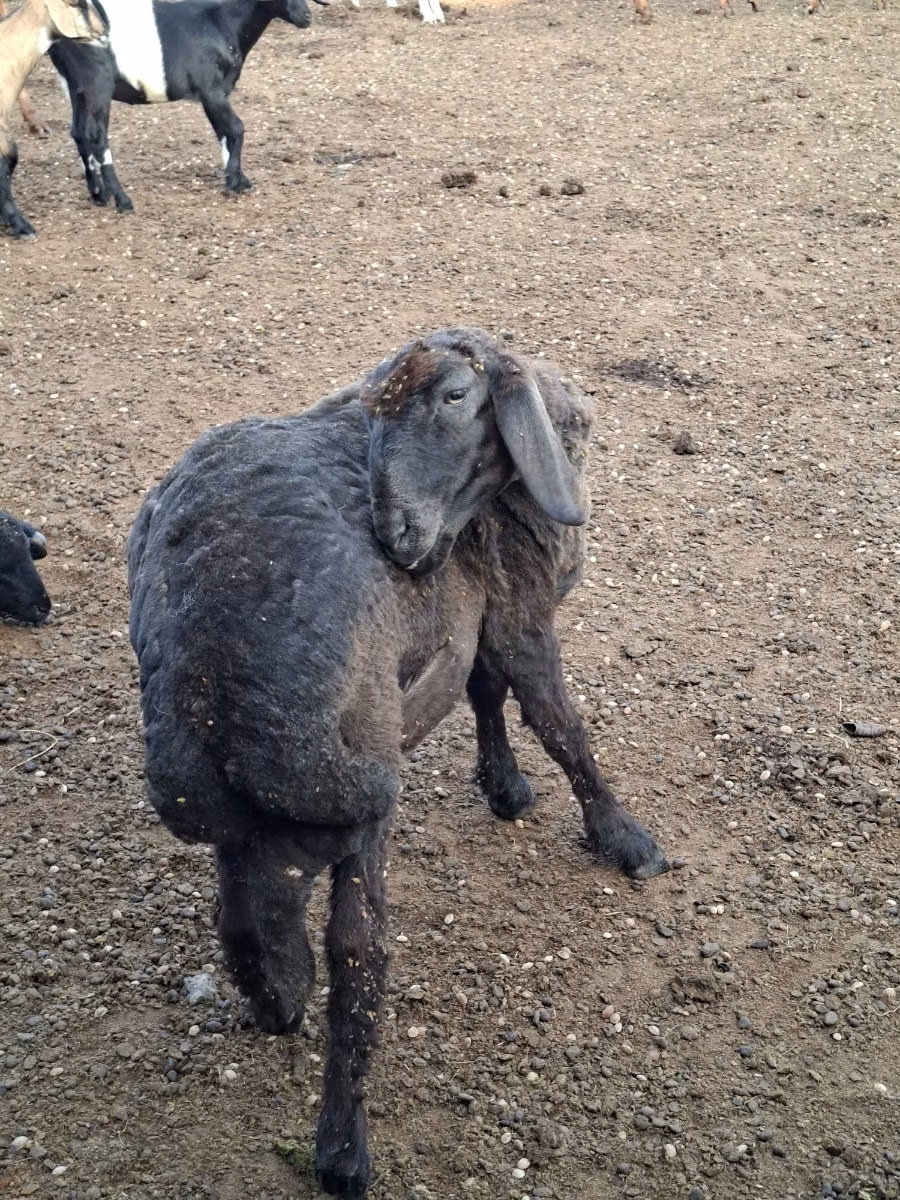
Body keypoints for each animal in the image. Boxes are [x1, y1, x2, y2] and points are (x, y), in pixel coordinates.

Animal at [48, 0, 320, 215]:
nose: (306, 16)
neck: (221, 21)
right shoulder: (211, 90)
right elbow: (236, 128)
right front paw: (234, 181)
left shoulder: (216, 94)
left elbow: (224, 133)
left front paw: (237, 179)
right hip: (97, 83)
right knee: (97, 137)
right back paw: (123, 201)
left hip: (75, 88)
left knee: (79, 132)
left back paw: (98, 194)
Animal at [127, 326, 669, 1199]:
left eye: (455, 397)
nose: (401, 536)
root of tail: (207, 681)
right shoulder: (517, 607)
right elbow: (561, 724)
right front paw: (623, 836)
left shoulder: (471, 605)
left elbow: (485, 689)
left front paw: (504, 785)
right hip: (362, 781)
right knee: (358, 949)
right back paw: (343, 1144)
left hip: (264, 814)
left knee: (245, 909)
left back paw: (277, 994)